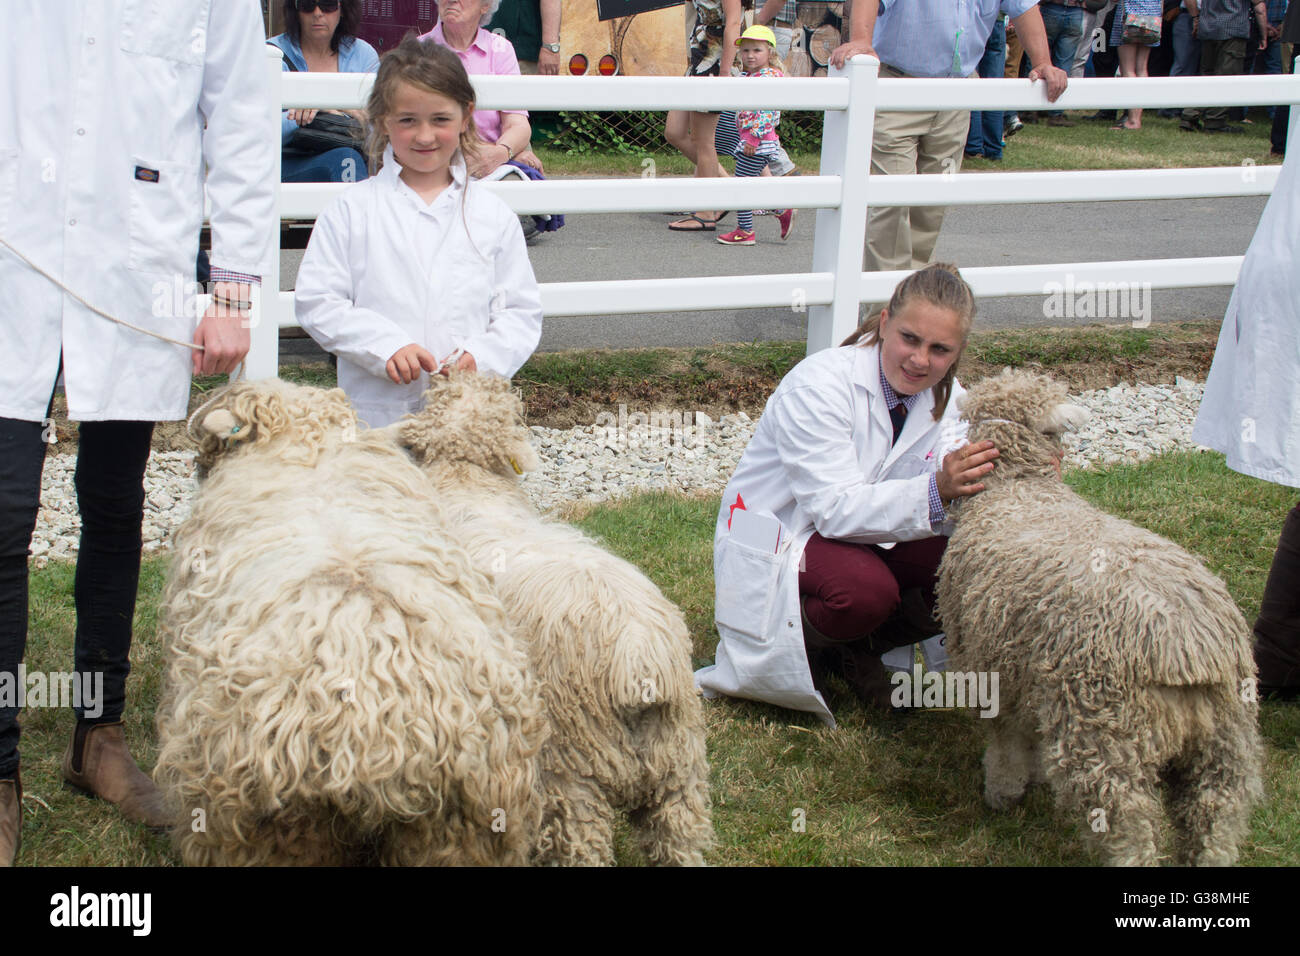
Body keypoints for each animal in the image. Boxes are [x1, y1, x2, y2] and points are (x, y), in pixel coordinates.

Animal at [395, 374, 717, 868]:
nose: (447, 368)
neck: (470, 482)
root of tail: (639, 657)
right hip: (679, 766)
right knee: (680, 840)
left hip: (574, 769)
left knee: (583, 845)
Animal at [935, 369, 1258, 868]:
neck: (1021, 490)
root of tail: (1189, 644)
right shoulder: (1026, 669)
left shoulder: (994, 668)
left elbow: (1008, 740)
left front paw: (1004, 792)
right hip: (1226, 742)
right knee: (1214, 823)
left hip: (1105, 732)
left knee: (1128, 830)